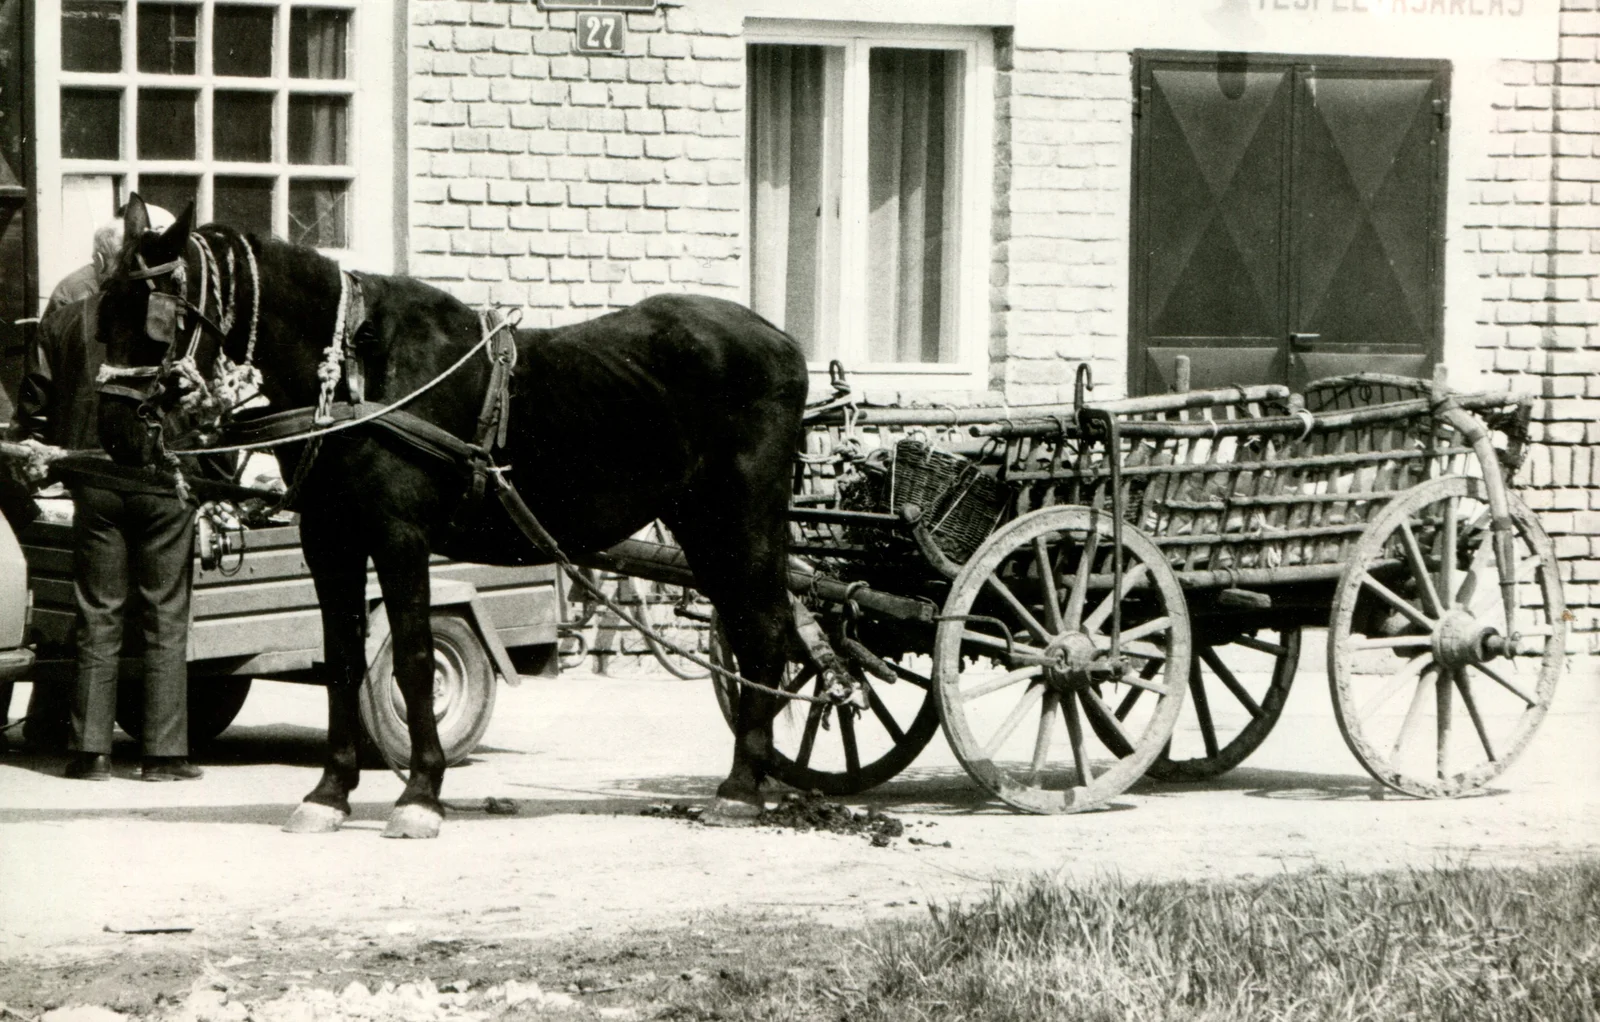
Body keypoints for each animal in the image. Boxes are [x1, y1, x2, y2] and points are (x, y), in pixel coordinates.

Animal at [95, 195, 809, 838]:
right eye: (102, 316)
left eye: (155, 318)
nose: (117, 435)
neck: (358, 373)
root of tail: (782, 341)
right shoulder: (331, 540)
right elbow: (342, 660)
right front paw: (330, 793)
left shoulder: (400, 539)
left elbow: (412, 660)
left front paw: (420, 794)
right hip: (702, 527)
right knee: (752, 631)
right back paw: (757, 777)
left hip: (739, 519)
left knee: (765, 631)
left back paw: (742, 788)